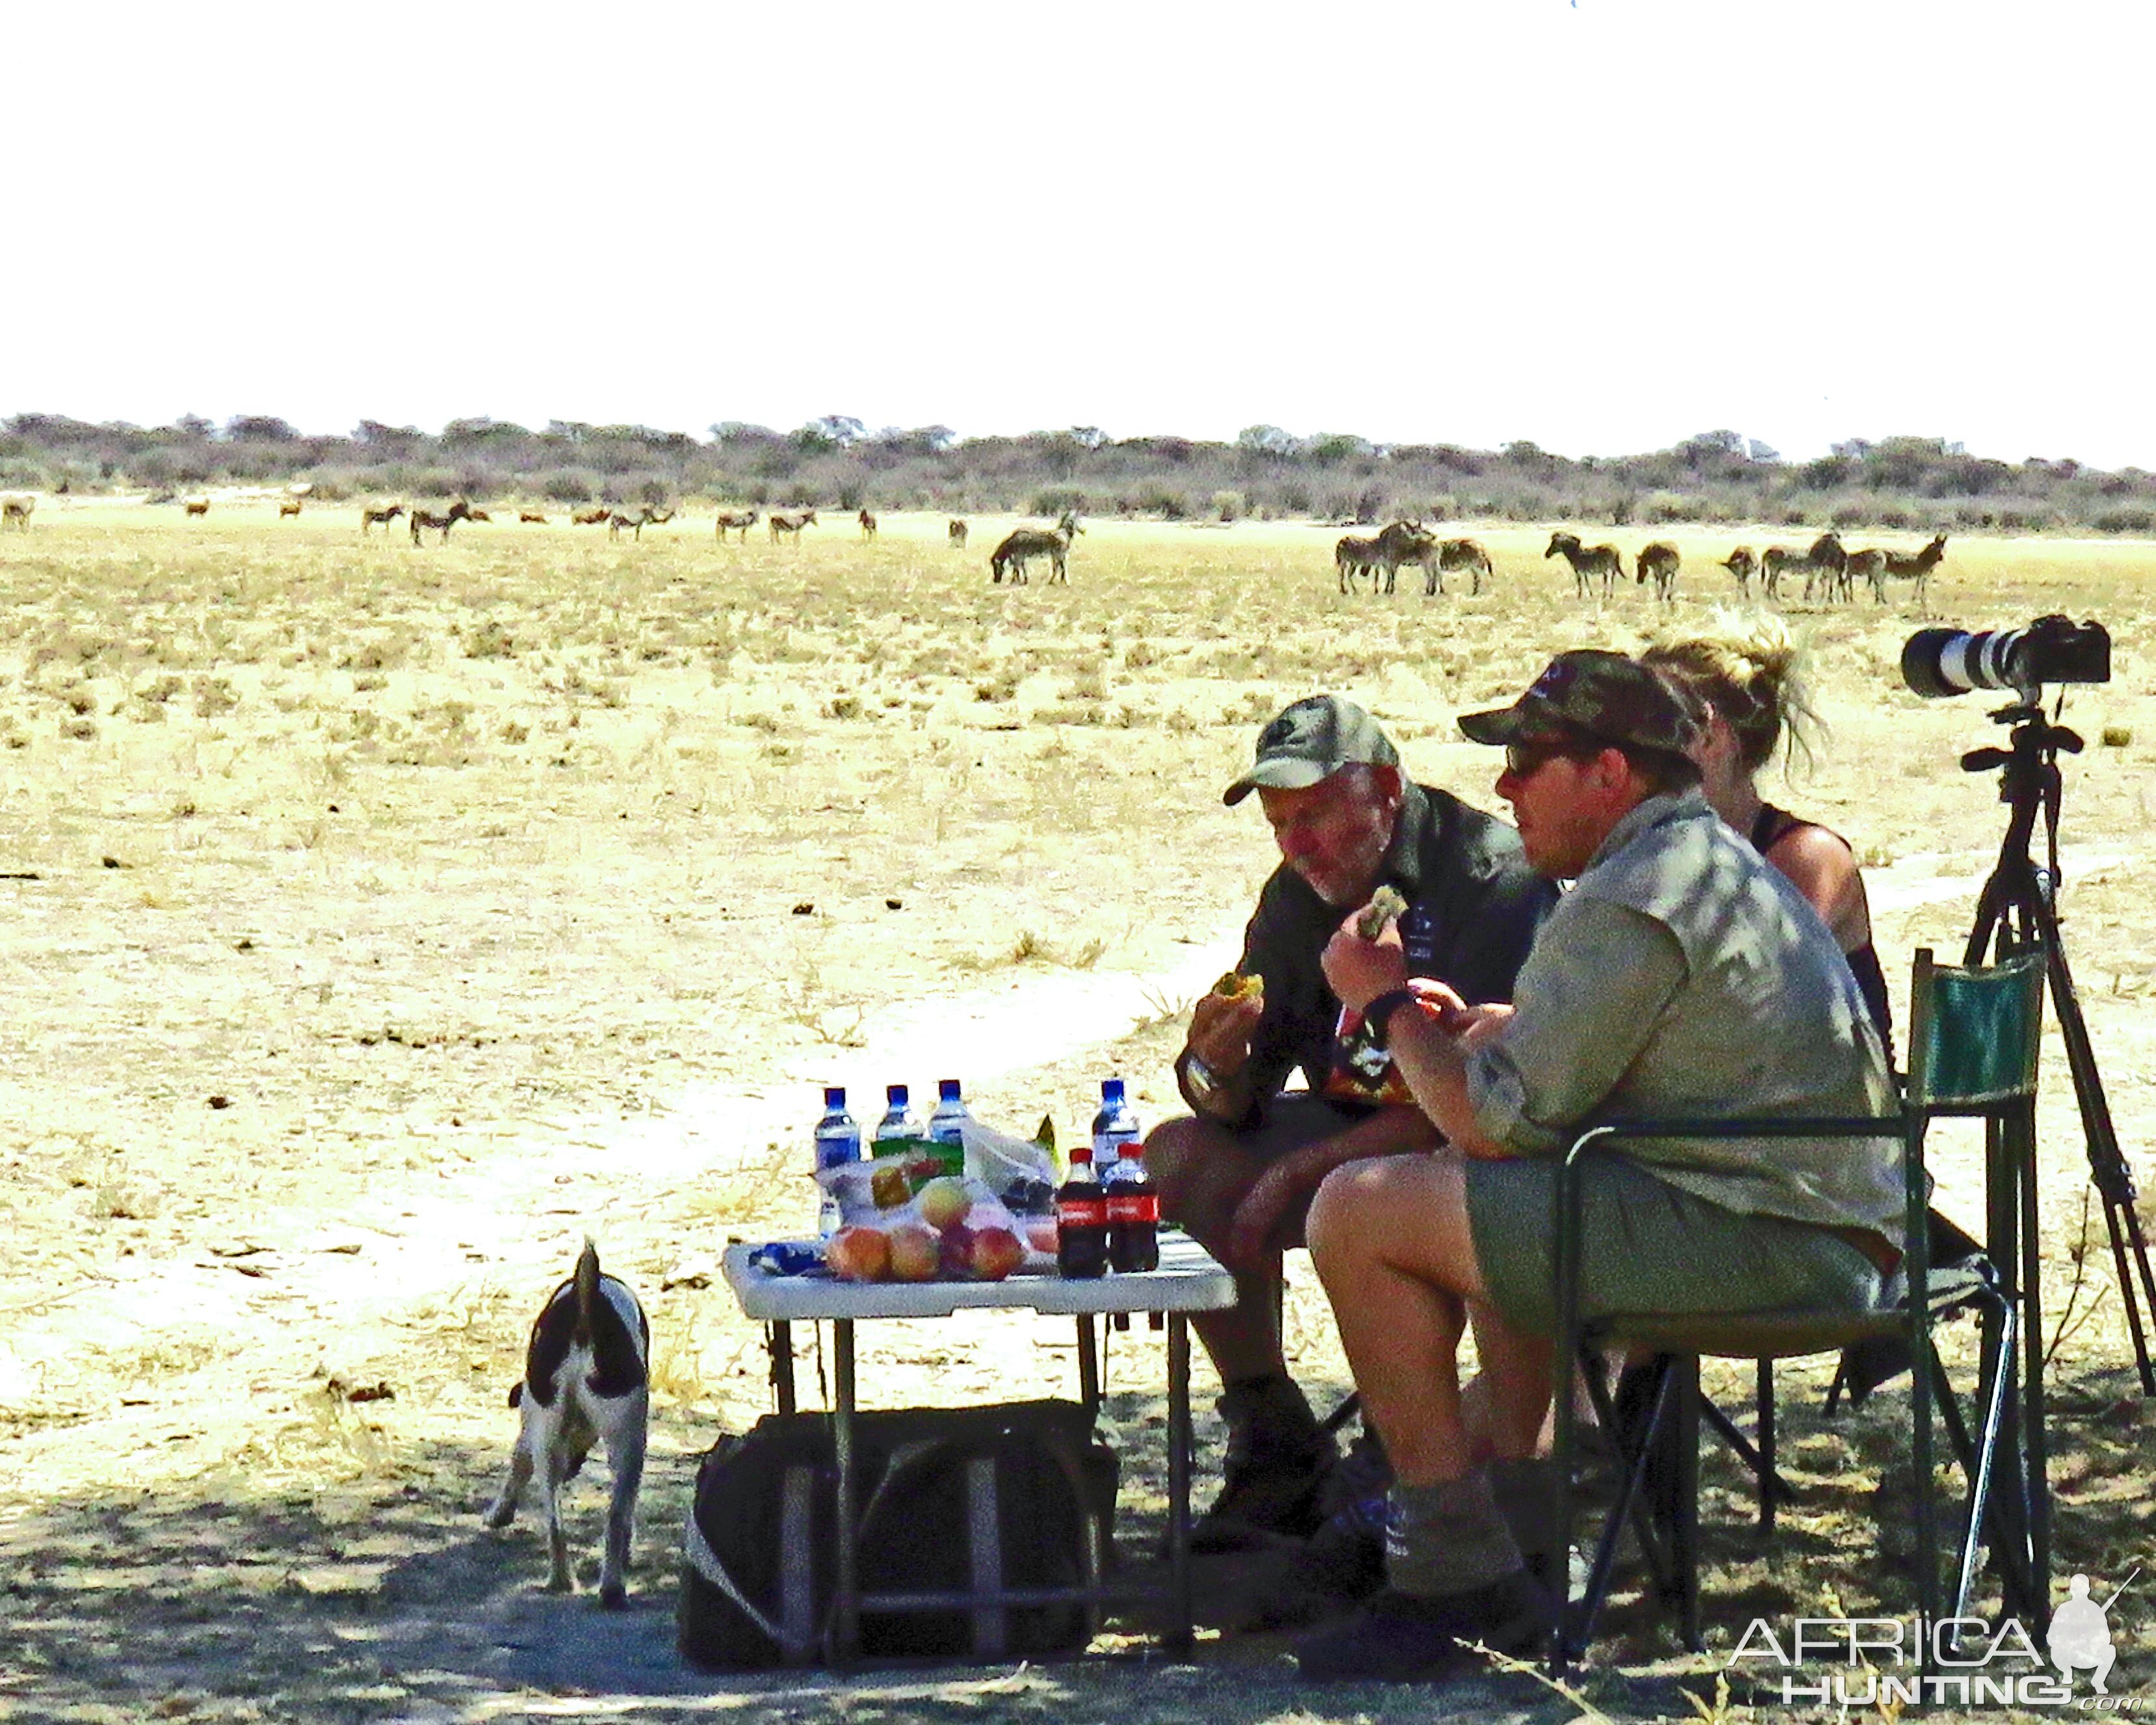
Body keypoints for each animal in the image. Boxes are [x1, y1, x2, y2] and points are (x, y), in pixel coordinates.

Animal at [487, 1242, 646, 1604]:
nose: (573, 1469)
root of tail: (585, 1307)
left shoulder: (532, 1429)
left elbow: (518, 1465)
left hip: (551, 1438)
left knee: (557, 1521)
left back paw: (566, 1580)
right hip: (626, 1439)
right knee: (614, 1516)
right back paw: (611, 1586)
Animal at [987, 513, 1078, 586]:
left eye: (995, 567)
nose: (995, 581)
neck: (1012, 542)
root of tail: (1065, 533)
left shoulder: (1018, 556)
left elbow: (1016, 569)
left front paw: (1015, 581)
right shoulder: (1020, 557)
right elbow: (1021, 568)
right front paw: (1024, 581)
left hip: (1058, 555)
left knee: (1062, 568)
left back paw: (1060, 582)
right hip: (1056, 555)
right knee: (1058, 567)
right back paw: (1053, 581)